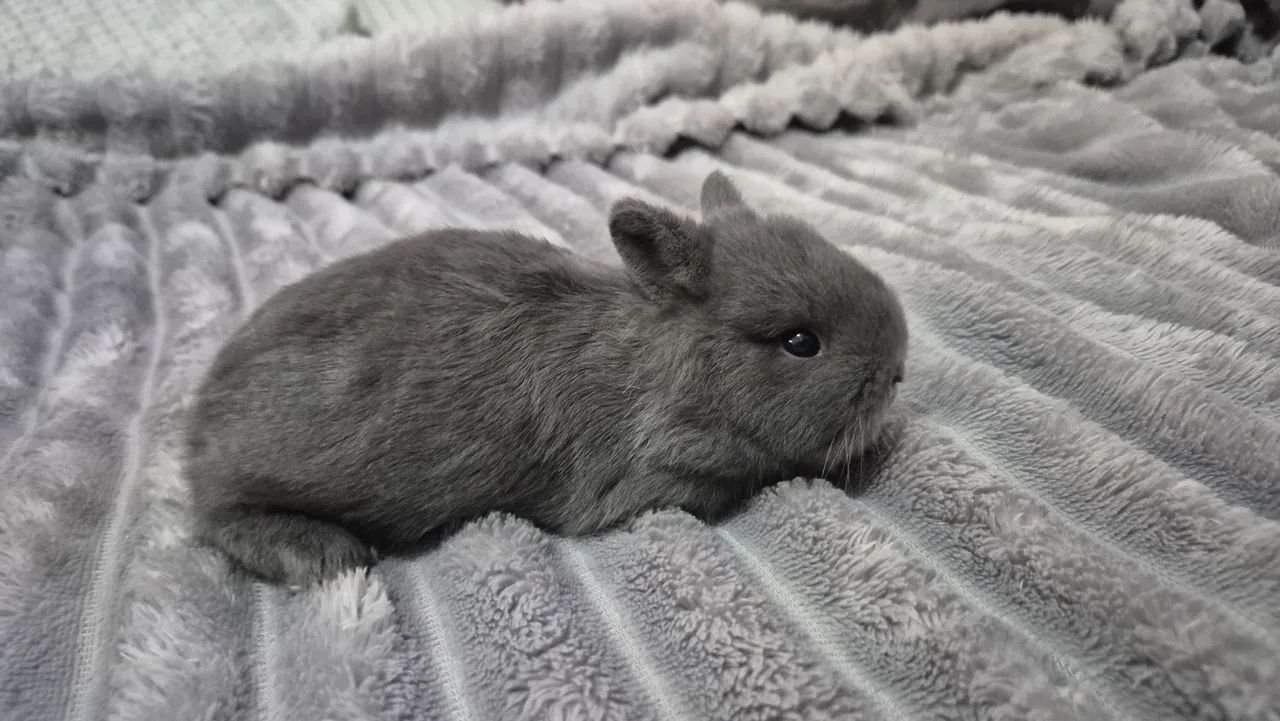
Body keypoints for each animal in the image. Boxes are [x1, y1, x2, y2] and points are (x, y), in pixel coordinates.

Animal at [184, 171, 908, 585]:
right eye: (800, 342)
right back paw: (327, 554)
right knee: (223, 522)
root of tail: (196, 438)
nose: (899, 370)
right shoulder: (648, 484)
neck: (661, 365)